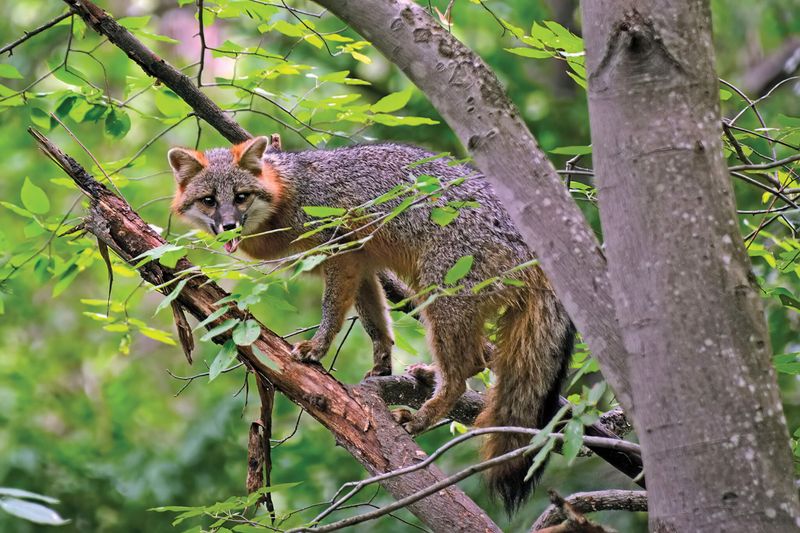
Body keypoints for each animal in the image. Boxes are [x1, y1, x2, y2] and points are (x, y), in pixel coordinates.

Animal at [167, 135, 575, 513]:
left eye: (240, 197)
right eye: (208, 201)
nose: (227, 227)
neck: (290, 191)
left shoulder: (340, 252)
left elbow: (333, 311)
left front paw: (317, 348)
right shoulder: (360, 262)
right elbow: (376, 325)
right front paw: (381, 368)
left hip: (437, 295)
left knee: (463, 373)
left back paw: (422, 417)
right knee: (477, 359)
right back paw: (428, 375)